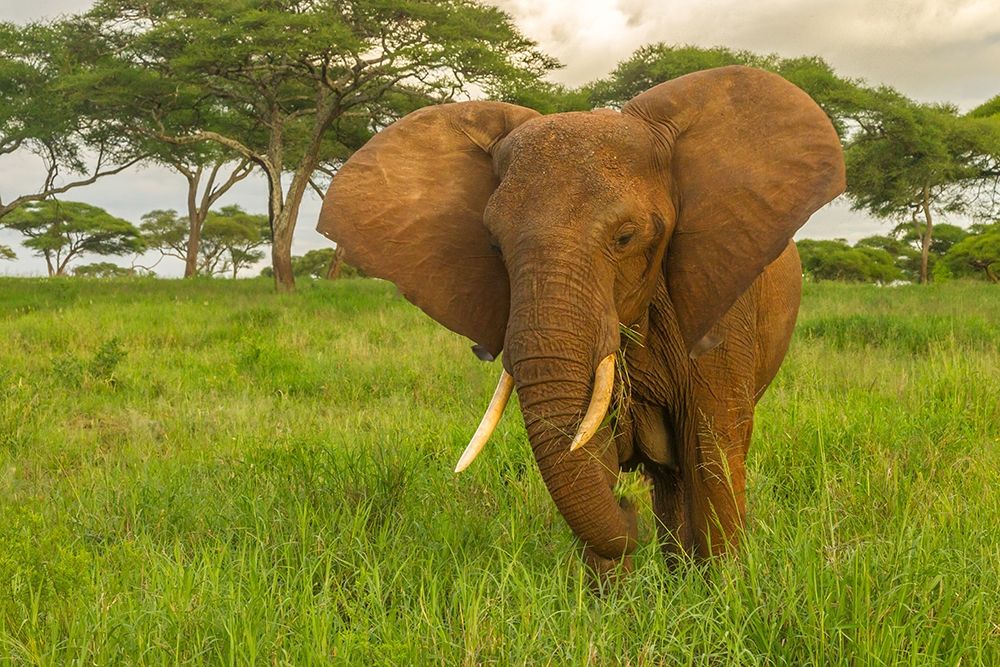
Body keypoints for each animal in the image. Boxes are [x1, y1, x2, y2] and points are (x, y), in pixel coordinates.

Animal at [317, 66, 845, 579]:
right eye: (493, 245)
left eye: (626, 237)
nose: (627, 508)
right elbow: (591, 452)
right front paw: (611, 596)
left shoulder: (723, 302)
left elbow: (711, 450)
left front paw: (724, 593)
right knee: (668, 478)